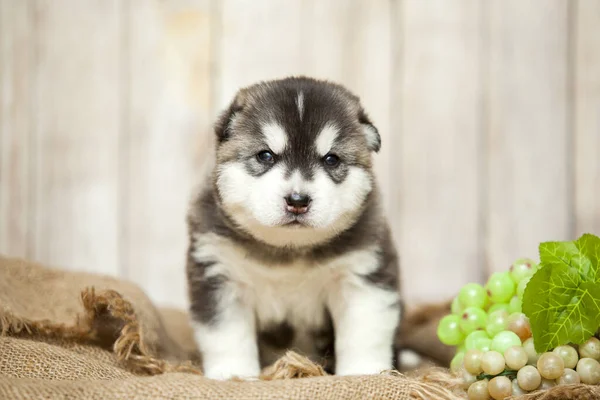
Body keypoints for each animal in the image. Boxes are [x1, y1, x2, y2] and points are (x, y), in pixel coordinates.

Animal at [188, 76, 404, 380]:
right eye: (265, 155)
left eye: (331, 159)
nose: (298, 201)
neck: (288, 250)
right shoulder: (219, 274)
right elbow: (227, 335)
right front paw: (234, 375)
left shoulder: (362, 276)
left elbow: (365, 332)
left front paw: (364, 373)